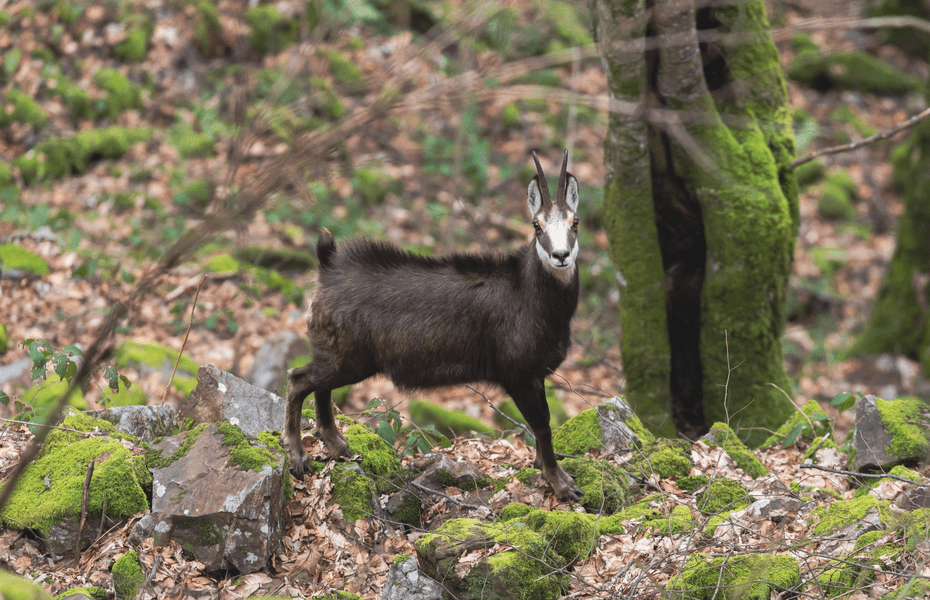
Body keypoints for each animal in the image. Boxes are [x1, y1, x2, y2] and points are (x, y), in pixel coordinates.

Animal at [282, 150, 583, 501]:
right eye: (537, 225)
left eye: (575, 222)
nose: (561, 255)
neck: (531, 298)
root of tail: (326, 268)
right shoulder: (518, 374)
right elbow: (543, 426)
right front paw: (562, 485)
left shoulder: (536, 375)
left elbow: (542, 425)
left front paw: (543, 469)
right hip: (346, 358)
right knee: (298, 379)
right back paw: (298, 458)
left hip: (337, 356)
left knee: (319, 387)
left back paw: (338, 445)